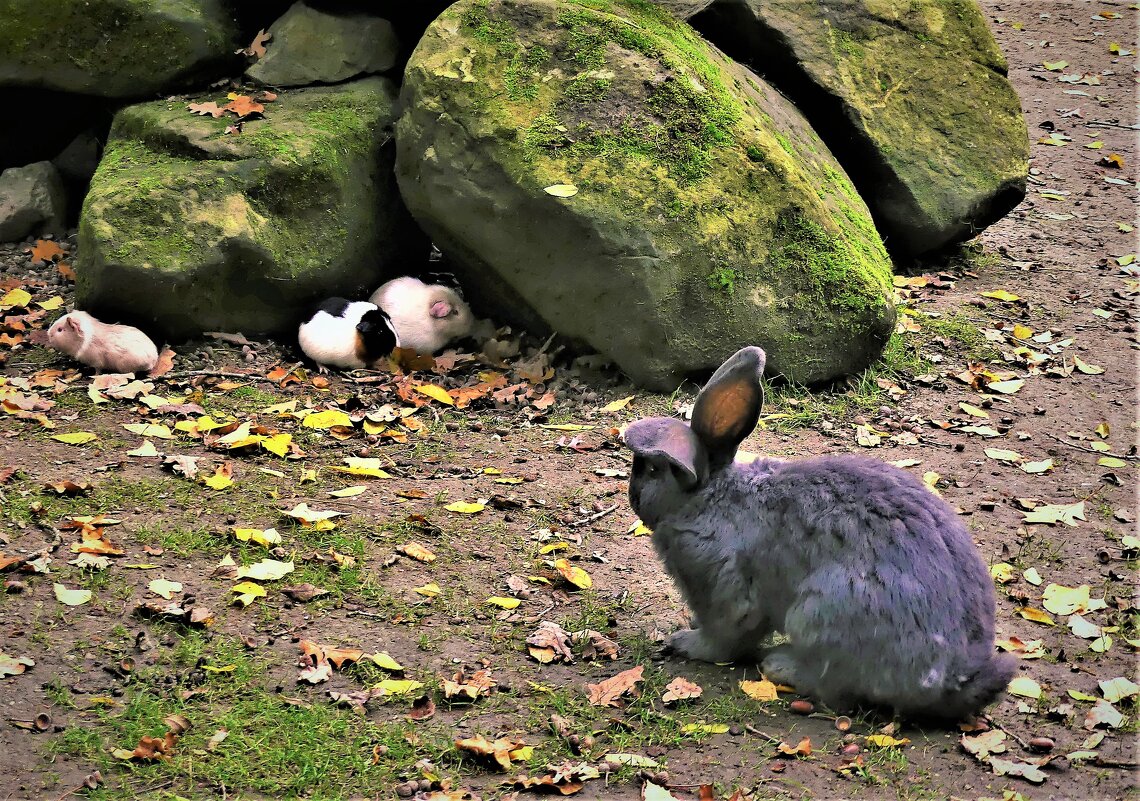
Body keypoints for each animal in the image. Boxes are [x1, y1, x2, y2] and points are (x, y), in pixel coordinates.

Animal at [624, 344, 1016, 720]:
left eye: (652, 470)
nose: (633, 497)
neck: (708, 497)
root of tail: (953, 680)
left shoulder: (724, 590)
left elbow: (725, 638)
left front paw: (684, 642)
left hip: (818, 611)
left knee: (835, 688)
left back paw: (780, 665)